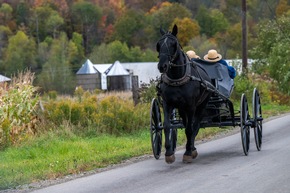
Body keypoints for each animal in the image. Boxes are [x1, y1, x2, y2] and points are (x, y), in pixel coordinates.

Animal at [156, 24, 213, 163]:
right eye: (158, 44)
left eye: (173, 44)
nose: (162, 66)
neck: (177, 78)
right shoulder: (167, 104)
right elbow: (167, 126)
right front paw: (169, 153)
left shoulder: (191, 106)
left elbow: (189, 129)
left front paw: (188, 152)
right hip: (182, 108)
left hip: (201, 106)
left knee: (195, 125)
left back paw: (191, 148)